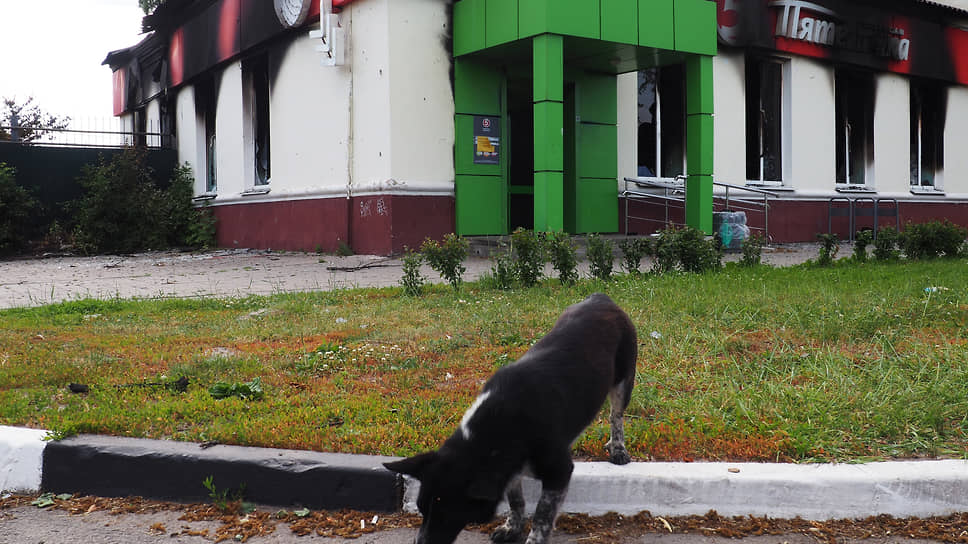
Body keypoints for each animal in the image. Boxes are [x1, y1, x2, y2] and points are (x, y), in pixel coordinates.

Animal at [386, 294, 636, 544]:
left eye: (447, 514)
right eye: (421, 509)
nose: (419, 543)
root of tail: (601, 298)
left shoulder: (559, 472)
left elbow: (543, 516)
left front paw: (533, 539)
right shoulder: (509, 470)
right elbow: (516, 501)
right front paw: (512, 528)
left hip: (623, 381)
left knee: (615, 415)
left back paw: (617, 448)